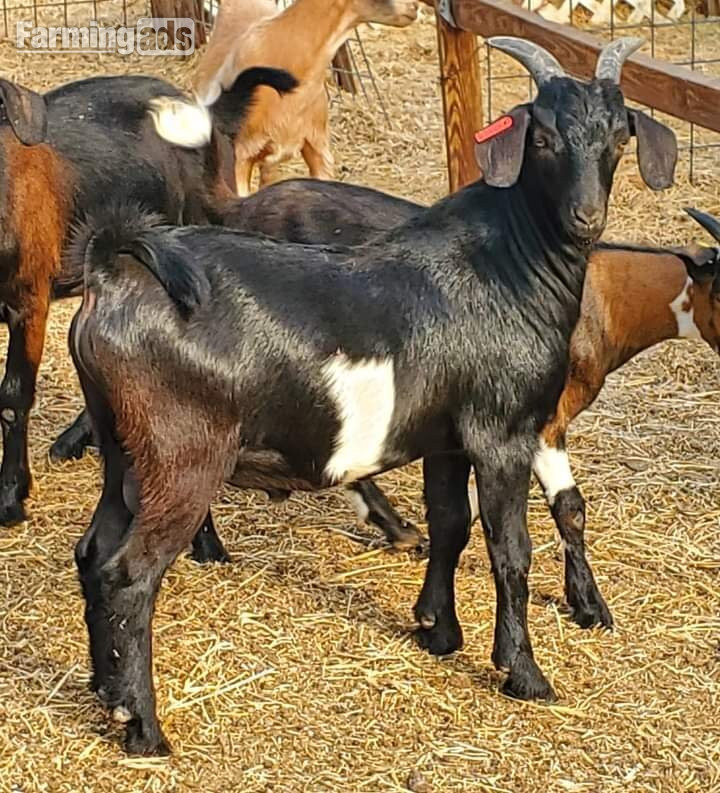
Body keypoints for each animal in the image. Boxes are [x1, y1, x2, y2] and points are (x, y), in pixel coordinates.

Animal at [69, 36, 677, 754]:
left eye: (617, 137)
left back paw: (104, 691)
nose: (587, 217)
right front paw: (523, 672)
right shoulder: (503, 432)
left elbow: (451, 524)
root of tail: (114, 273)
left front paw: (438, 630)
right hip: (182, 454)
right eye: (544, 138)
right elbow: (510, 548)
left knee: (93, 553)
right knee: (130, 575)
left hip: (124, 450)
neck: (507, 265)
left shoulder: (447, 437)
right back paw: (143, 727)